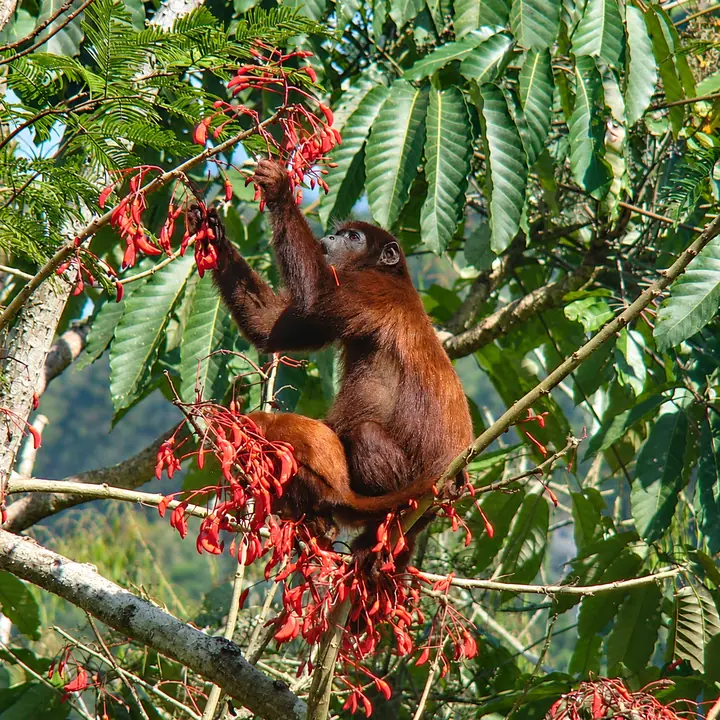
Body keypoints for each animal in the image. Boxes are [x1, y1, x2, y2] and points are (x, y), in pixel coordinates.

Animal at [192, 159, 473, 565]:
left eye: (353, 237)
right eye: (340, 233)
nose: (330, 238)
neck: (389, 273)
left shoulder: (370, 289)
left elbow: (315, 295)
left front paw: (278, 189)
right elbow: (273, 328)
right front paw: (211, 233)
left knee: (365, 434)